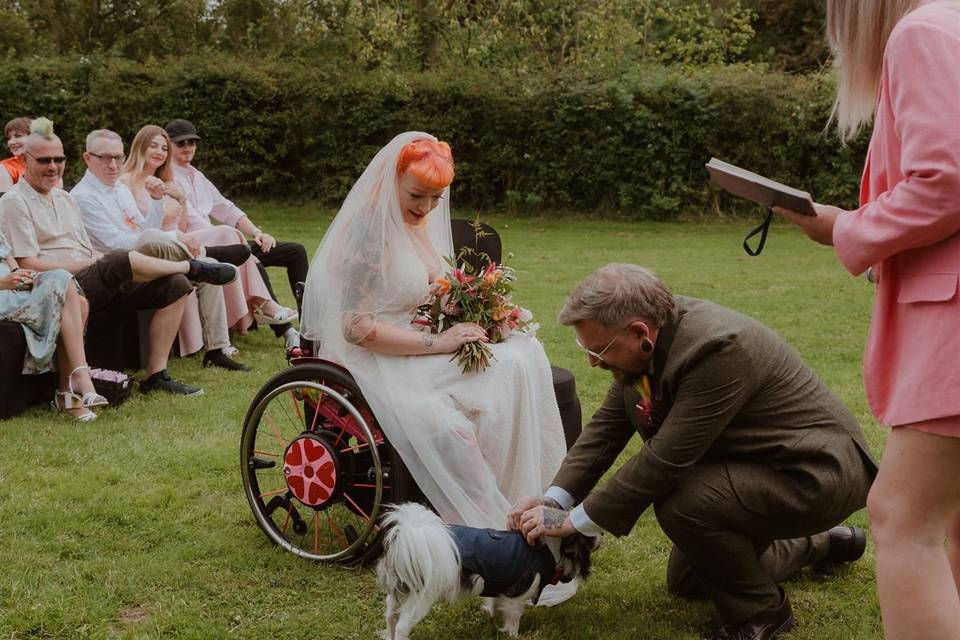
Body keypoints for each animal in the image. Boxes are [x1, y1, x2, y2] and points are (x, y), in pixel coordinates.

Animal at [376, 502, 600, 636]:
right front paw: (514, 635)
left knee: (390, 617)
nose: (602, 534)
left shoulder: (498, 585)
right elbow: (513, 617)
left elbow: (493, 603)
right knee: (402, 626)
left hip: (396, 596)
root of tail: (406, 537)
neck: (545, 548)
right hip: (421, 598)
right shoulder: (518, 594)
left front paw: (491, 617)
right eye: (588, 536)